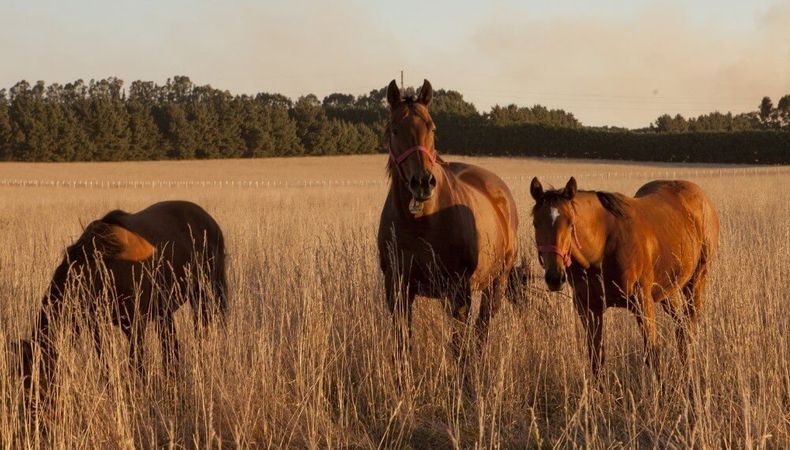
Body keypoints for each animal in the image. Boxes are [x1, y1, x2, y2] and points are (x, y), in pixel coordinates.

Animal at [13, 200, 227, 390]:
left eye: (36, 378)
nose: (30, 407)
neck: (98, 270)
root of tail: (210, 221)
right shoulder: (97, 327)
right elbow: (105, 363)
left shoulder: (135, 325)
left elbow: (136, 364)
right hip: (164, 310)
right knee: (170, 345)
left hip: (206, 294)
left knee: (205, 329)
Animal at [378, 78, 520, 358]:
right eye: (395, 130)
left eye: (431, 126)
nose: (423, 182)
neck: (421, 222)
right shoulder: (397, 288)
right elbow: (403, 345)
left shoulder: (459, 291)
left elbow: (459, 347)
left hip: (496, 283)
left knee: (481, 329)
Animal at [532, 178, 716, 374]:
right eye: (535, 223)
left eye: (570, 223)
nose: (555, 277)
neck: (602, 248)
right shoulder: (589, 308)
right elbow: (596, 359)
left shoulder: (642, 302)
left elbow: (653, 354)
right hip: (669, 291)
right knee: (681, 329)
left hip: (696, 282)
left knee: (689, 329)